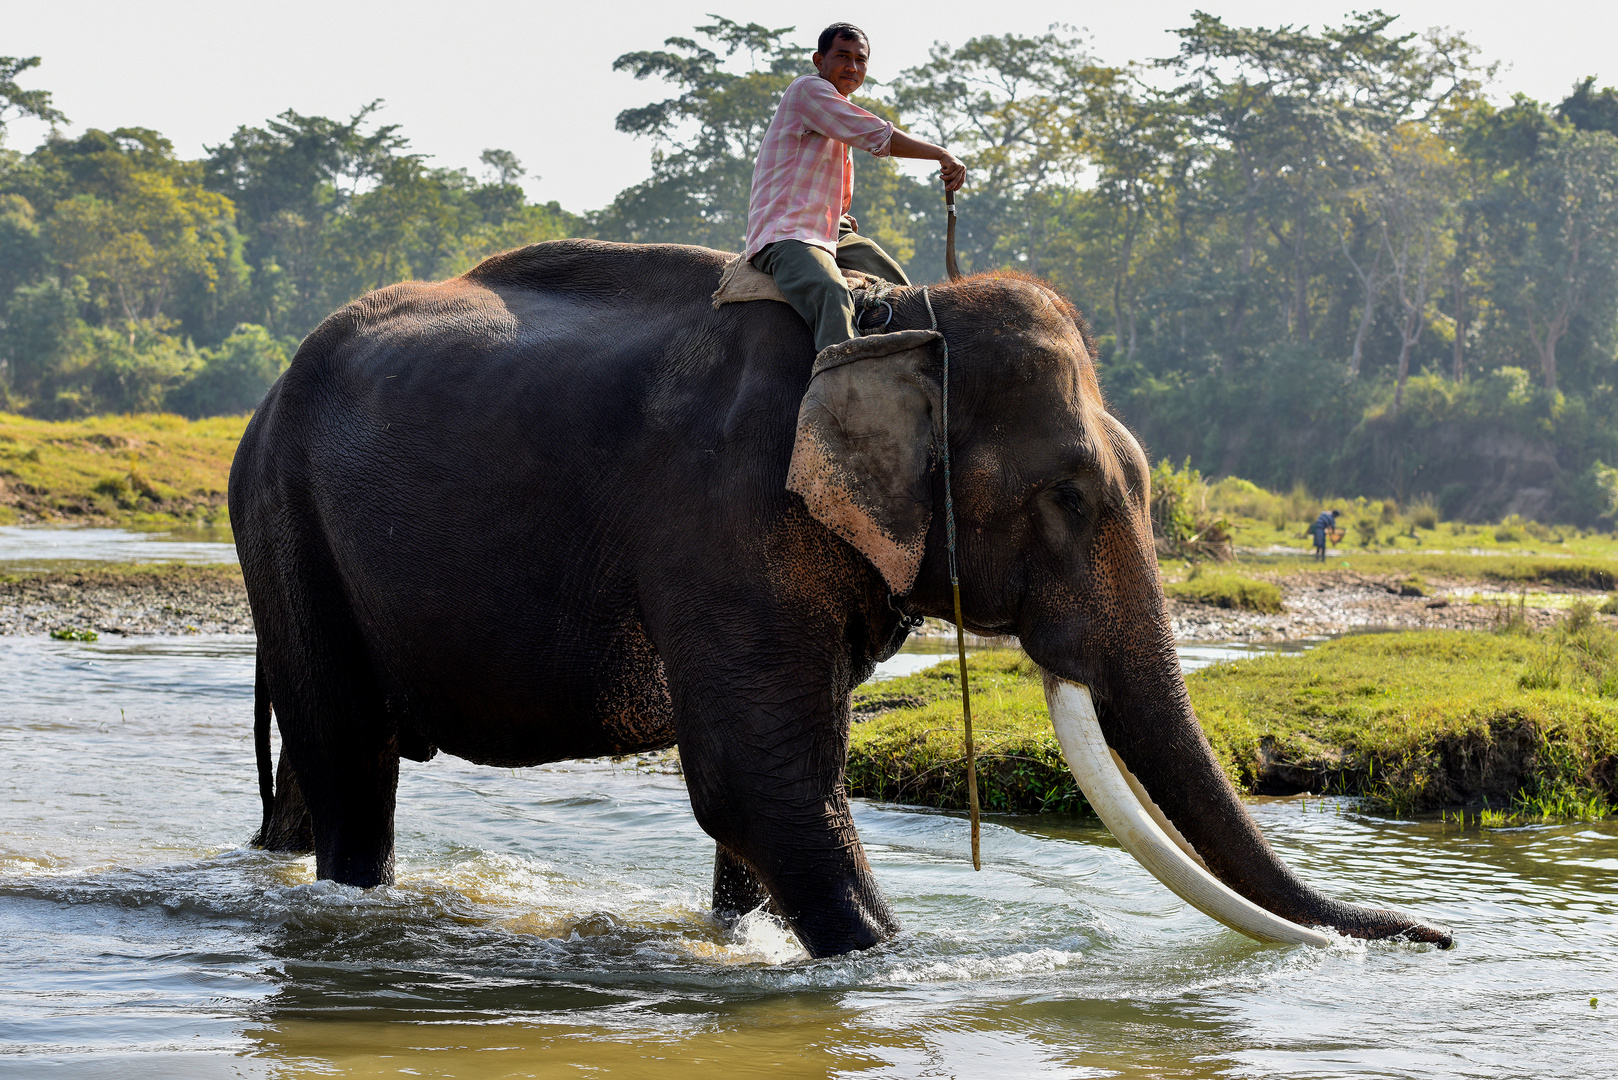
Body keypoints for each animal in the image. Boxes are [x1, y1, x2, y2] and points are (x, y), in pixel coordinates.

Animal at [231, 236, 1456, 952]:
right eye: (1066, 495)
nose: (1438, 940)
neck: (899, 315)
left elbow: (777, 777)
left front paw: (742, 947)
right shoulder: (723, 513)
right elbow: (759, 780)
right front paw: (896, 970)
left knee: (320, 768)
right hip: (284, 515)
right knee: (354, 759)